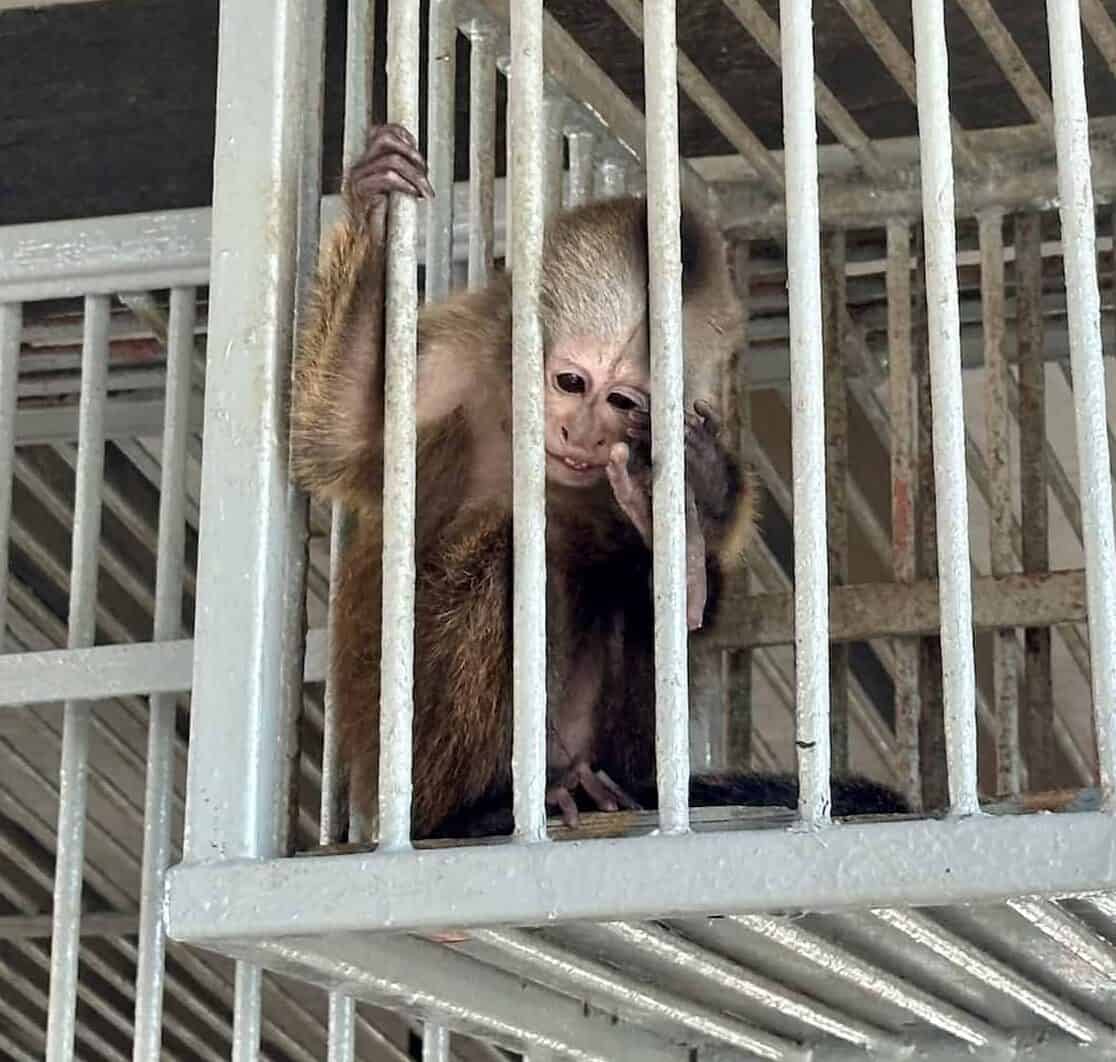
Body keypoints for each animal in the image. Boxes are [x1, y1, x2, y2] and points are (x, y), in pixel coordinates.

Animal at [290, 124, 906, 843]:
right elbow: (340, 439)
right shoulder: (459, 357)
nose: (580, 434)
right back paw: (479, 809)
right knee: (511, 555)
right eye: (570, 382)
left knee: (638, 580)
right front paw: (373, 210)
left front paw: (699, 488)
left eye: (622, 402)